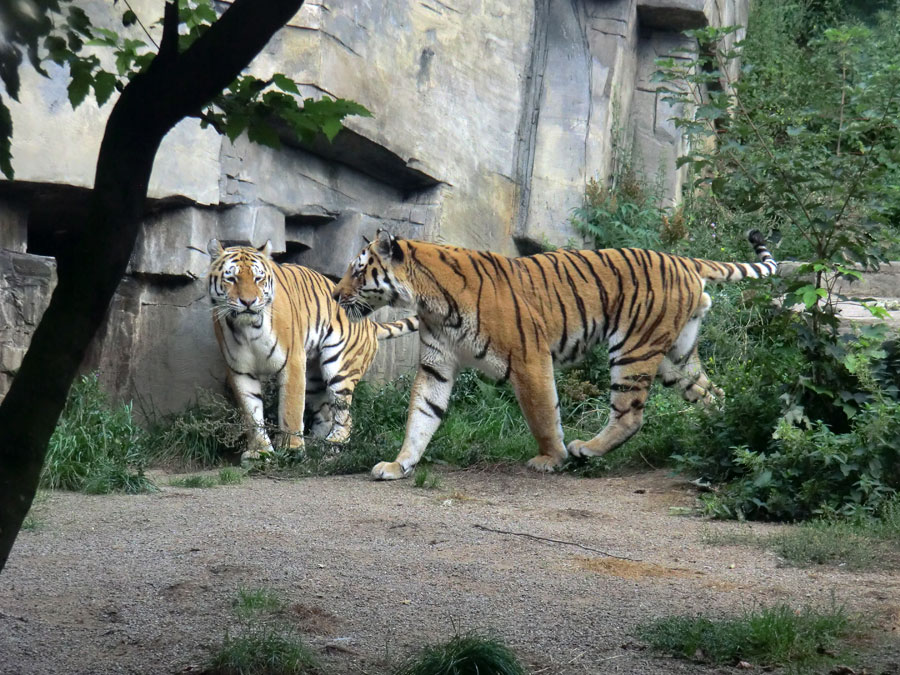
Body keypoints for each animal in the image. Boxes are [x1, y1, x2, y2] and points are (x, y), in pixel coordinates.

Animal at [207, 240, 418, 462]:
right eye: (231, 278)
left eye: (258, 278)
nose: (248, 302)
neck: (248, 328)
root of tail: (370, 323)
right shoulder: (241, 370)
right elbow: (252, 413)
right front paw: (260, 452)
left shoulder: (292, 362)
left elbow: (290, 409)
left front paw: (291, 449)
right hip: (314, 379)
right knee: (326, 414)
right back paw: (317, 444)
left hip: (339, 370)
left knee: (346, 417)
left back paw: (332, 444)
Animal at [334, 231, 776, 480]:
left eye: (358, 271)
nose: (336, 296)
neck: (428, 301)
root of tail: (683, 259)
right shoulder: (436, 366)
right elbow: (421, 417)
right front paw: (399, 465)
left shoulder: (529, 359)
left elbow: (543, 414)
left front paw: (552, 458)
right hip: (675, 359)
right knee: (714, 395)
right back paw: (721, 440)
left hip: (633, 348)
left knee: (630, 415)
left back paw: (586, 450)